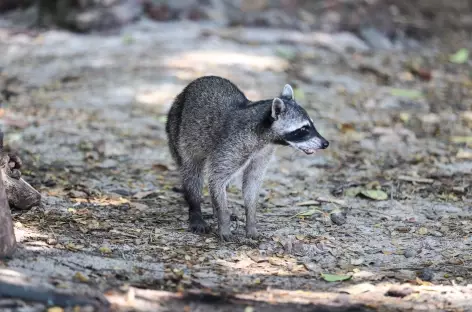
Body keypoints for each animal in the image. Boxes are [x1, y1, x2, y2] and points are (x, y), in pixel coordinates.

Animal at [166, 76, 328, 241]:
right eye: (303, 129)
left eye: (312, 125)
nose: (325, 143)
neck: (266, 136)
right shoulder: (233, 145)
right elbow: (217, 178)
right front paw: (224, 221)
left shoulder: (264, 152)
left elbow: (252, 183)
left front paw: (250, 222)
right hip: (177, 131)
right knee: (192, 172)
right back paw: (196, 209)